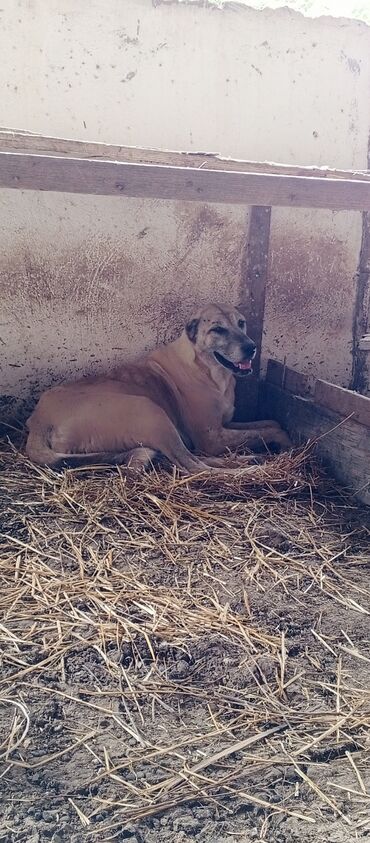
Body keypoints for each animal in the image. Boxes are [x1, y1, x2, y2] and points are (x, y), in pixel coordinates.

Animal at [26, 304, 290, 474]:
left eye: (241, 323)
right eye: (218, 329)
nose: (251, 347)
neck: (206, 368)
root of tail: (39, 420)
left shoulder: (225, 425)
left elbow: (269, 423)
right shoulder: (212, 437)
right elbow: (268, 430)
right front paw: (284, 442)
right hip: (151, 411)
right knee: (194, 466)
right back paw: (246, 469)